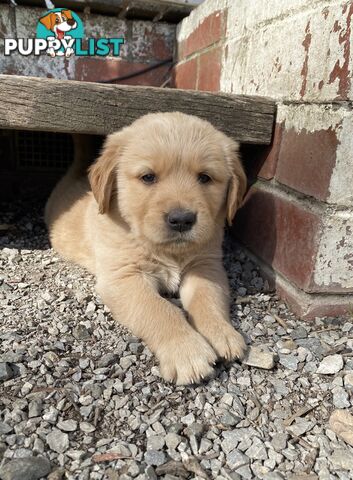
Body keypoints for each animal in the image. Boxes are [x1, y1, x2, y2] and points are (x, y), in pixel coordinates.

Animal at [45, 110, 246, 384]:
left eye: (205, 177)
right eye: (148, 177)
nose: (182, 220)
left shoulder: (206, 266)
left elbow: (207, 298)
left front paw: (221, 333)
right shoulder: (124, 277)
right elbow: (159, 309)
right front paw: (187, 351)